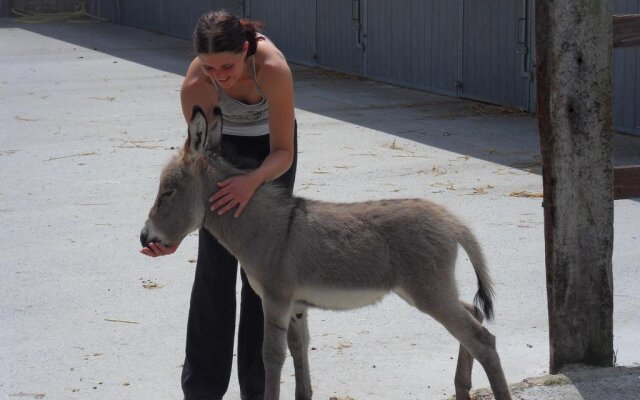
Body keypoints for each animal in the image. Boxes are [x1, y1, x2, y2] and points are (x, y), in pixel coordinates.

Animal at [142, 107, 512, 400]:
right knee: (473, 316)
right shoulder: (296, 305)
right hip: (427, 290)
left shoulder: (276, 300)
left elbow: (272, 356)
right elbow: (299, 350)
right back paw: (462, 389)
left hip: (428, 291)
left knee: (482, 339)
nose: (145, 237)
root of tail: (452, 221)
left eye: (168, 191)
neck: (262, 227)